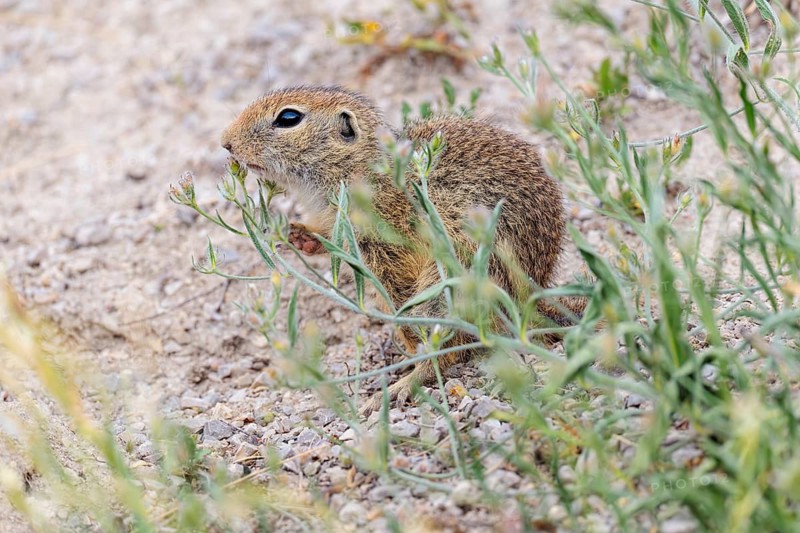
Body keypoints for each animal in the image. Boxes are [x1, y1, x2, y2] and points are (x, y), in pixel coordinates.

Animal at [221, 85, 584, 414]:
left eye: (288, 118)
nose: (225, 141)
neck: (362, 169)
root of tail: (531, 300)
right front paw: (299, 235)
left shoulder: (385, 246)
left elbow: (399, 300)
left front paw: (409, 346)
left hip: (454, 279)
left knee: (451, 346)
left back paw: (402, 384)